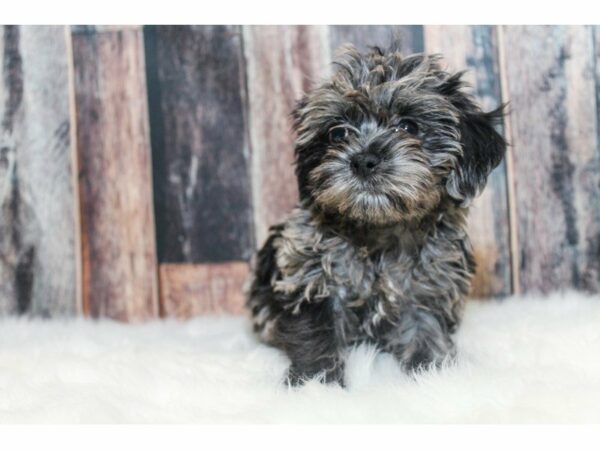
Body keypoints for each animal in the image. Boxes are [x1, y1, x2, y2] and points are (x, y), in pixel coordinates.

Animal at [246, 42, 504, 386]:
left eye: (408, 126)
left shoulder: (429, 285)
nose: (363, 160)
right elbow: (316, 335)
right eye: (337, 134)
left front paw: (430, 374)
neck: (379, 229)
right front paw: (315, 384)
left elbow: (425, 330)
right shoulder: (312, 276)